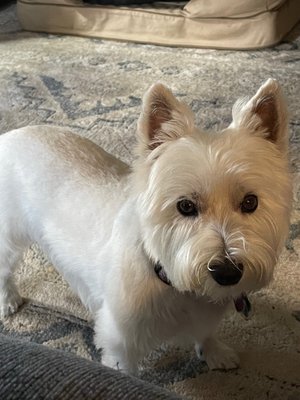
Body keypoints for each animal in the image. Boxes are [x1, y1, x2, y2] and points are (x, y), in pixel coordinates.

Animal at [0, 79, 292, 376]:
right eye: (185, 206)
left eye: (250, 202)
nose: (227, 272)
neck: (169, 278)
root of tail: (10, 135)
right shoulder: (120, 342)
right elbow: (125, 370)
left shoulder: (205, 314)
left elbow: (206, 332)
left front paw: (215, 353)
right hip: (9, 236)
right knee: (4, 269)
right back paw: (9, 301)